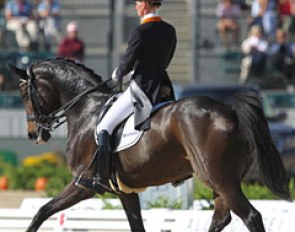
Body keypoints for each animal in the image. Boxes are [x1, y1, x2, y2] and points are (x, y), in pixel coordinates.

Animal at [10, 56, 292, 232]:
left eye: (24, 93)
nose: (34, 134)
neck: (85, 108)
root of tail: (230, 110)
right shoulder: (126, 192)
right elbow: (137, 226)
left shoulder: (83, 184)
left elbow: (42, 211)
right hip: (221, 182)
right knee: (221, 218)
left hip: (222, 180)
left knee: (251, 217)